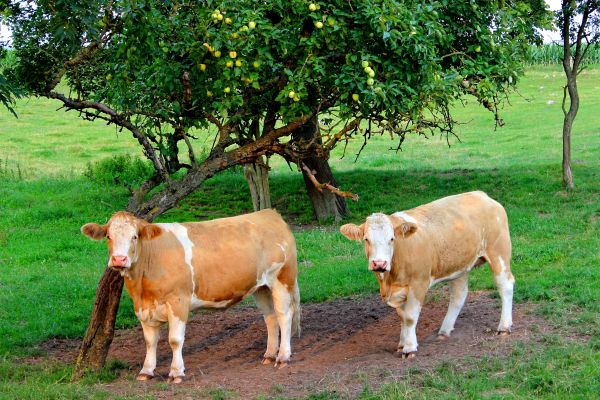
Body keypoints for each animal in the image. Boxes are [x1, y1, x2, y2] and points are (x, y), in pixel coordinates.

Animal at [81, 209, 300, 382]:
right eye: (109, 236)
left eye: (134, 236)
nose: (119, 259)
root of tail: (269, 213)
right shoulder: (143, 308)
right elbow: (150, 341)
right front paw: (146, 371)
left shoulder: (178, 301)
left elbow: (175, 340)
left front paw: (176, 372)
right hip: (261, 287)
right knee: (270, 317)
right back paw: (269, 355)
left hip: (282, 279)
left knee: (284, 315)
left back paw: (283, 357)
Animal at [340, 192, 512, 358]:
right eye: (366, 239)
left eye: (392, 239)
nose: (379, 263)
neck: (390, 281)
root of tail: (481, 195)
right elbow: (402, 316)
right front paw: (402, 344)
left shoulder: (418, 283)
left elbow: (410, 317)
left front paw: (409, 348)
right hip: (460, 265)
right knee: (459, 295)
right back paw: (444, 330)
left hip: (498, 252)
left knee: (506, 285)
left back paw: (504, 326)